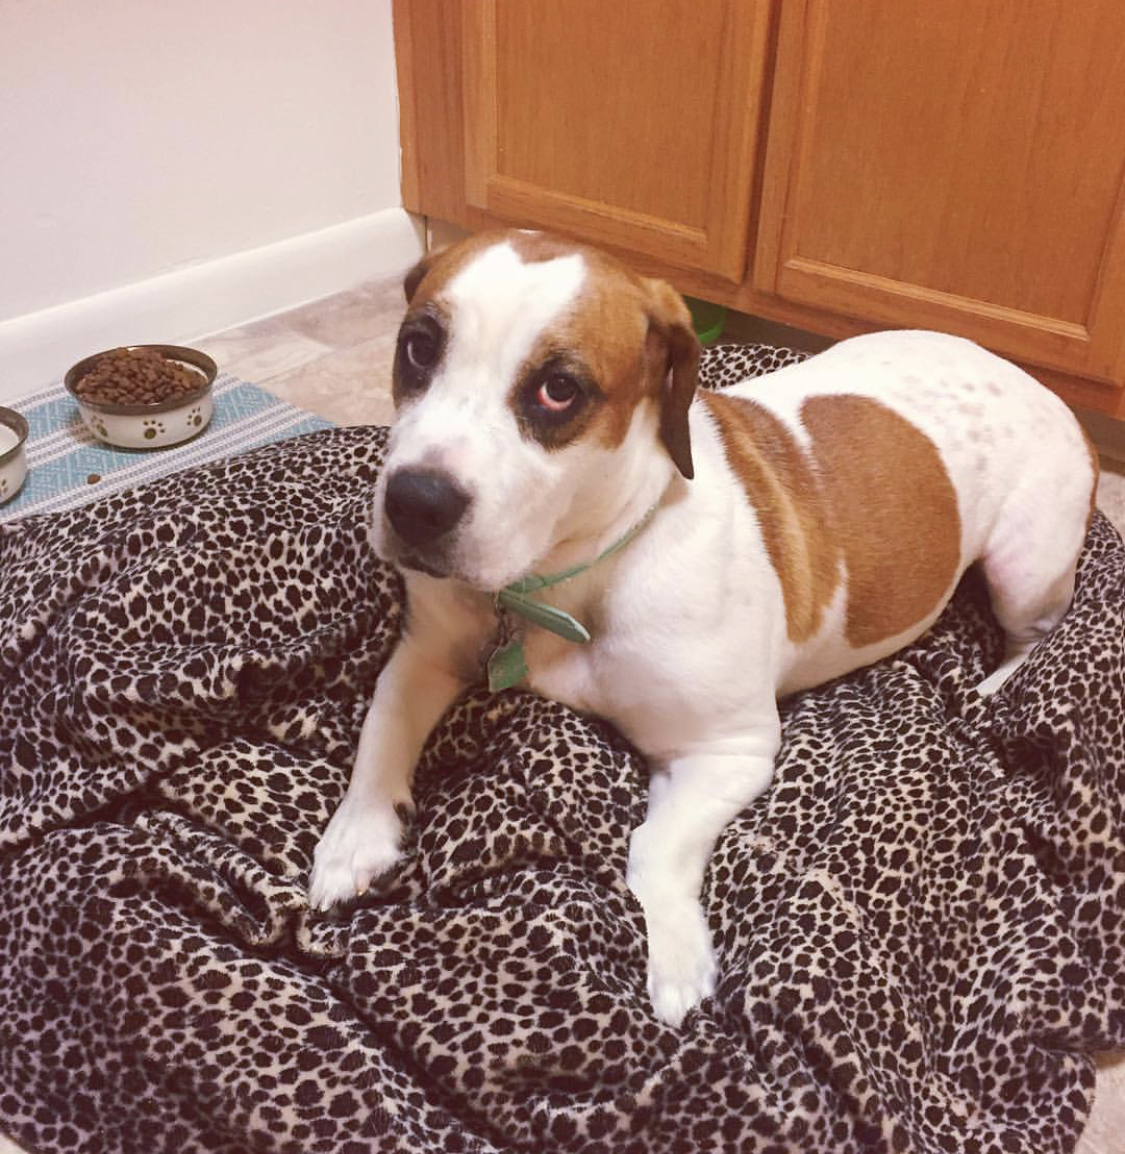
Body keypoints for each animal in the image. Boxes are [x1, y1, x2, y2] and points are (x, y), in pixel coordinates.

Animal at [306, 229, 1098, 1024]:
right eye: (417, 347)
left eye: (559, 390)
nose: (415, 503)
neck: (565, 578)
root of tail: (1044, 387)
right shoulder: (427, 652)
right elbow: (381, 725)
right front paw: (355, 835)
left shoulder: (728, 750)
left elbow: (654, 845)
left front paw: (677, 957)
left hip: (1025, 566)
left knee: (1037, 632)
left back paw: (993, 687)